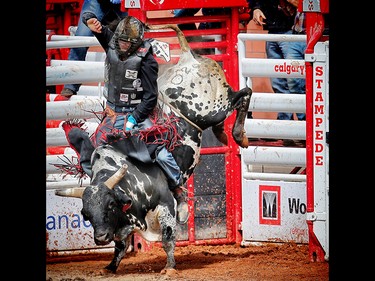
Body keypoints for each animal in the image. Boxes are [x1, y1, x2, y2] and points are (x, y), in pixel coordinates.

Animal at [54, 24, 253, 274]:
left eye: (110, 205)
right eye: (85, 214)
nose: (100, 238)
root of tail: (187, 55)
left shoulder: (165, 206)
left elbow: (168, 238)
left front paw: (169, 267)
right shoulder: (123, 223)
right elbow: (120, 246)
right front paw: (110, 267)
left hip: (213, 109)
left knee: (243, 93)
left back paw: (239, 135)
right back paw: (222, 133)